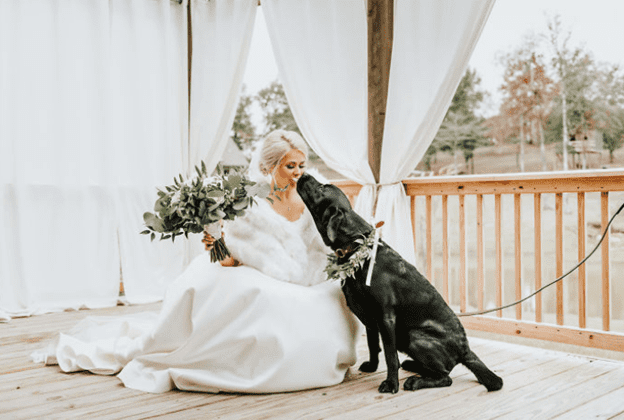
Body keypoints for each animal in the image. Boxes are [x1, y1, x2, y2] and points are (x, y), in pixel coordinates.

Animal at [294, 173, 504, 394]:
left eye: (322, 188)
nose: (303, 174)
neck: (358, 249)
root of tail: (465, 350)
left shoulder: (386, 317)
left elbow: (390, 355)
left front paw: (390, 384)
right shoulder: (369, 317)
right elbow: (372, 345)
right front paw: (372, 366)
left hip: (414, 336)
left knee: (445, 377)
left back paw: (415, 381)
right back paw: (412, 366)